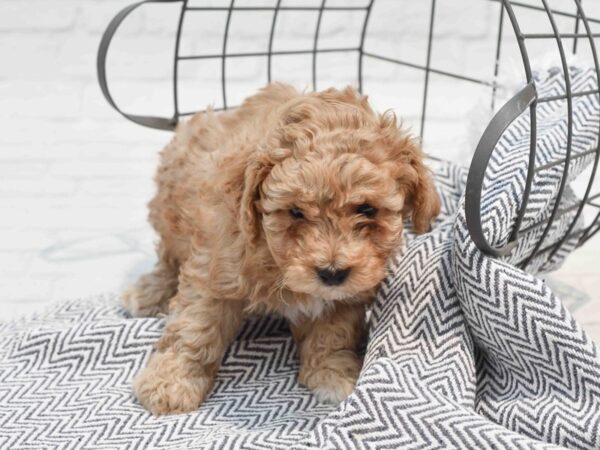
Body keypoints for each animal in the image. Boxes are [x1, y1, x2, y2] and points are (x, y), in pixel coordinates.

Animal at [124, 83, 438, 414]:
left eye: (367, 209)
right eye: (296, 212)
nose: (332, 273)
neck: (276, 260)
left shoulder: (346, 295)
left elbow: (333, 332)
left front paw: (332, 373)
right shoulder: (216, 268)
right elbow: (196, 326)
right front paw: (170, 382)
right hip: (170, 205)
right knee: (168, 260)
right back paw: (147, 292)